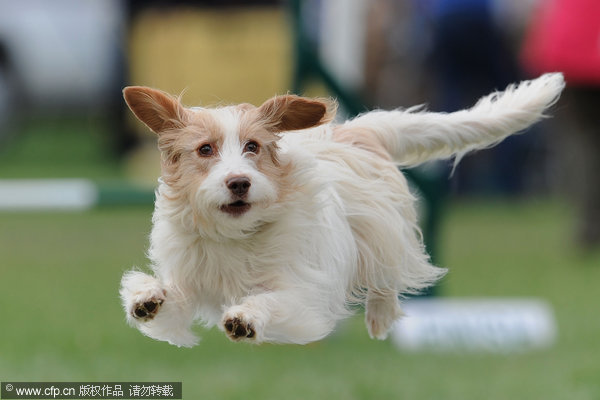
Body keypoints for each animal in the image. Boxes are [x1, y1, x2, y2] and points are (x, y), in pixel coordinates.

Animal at [119, 72, 564, 346]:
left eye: (253, 147)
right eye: (205, 150)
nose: (239, 182)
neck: (237, 235)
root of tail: (360, 131)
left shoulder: (303, 296)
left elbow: (272, 302)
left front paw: (246, 318)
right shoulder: (190, 281)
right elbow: (170, 300)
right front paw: (146, 297)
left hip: (382, 231)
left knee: (388, 274)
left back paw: (381, 316)